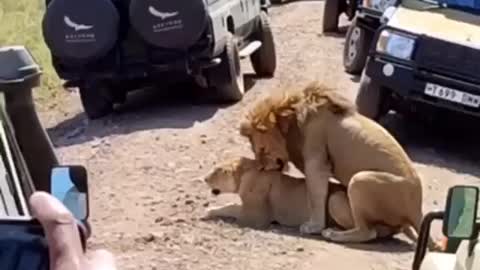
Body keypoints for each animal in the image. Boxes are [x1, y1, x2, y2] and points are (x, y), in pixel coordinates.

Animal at [238, 81, 440, 250]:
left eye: (262, 150)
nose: (262, 168)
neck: (292, 117)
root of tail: (417, 211)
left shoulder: (316, 161)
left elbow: (316, 195)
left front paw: (313, 226)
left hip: (360, 181)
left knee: (368, 232)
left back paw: (333, 234)